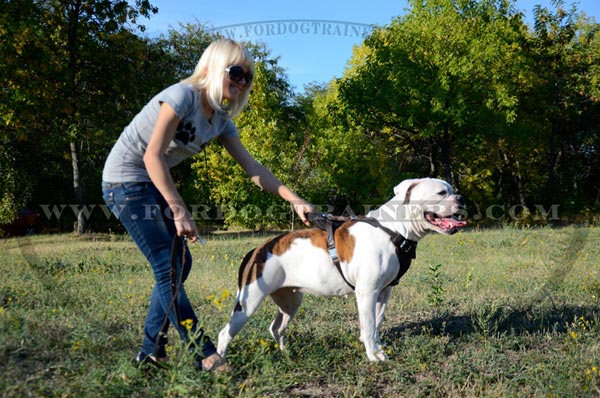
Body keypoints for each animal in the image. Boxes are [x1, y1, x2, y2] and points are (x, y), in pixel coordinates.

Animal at [218, 179, 466, 362]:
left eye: (453, 190)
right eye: (441, 192)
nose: (461, 198)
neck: (394, 230)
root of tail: (258, 249)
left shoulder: (384, 292)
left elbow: (377, 322)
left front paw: (378, 347)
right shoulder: (366, 292)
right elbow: (368, 324)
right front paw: (373, 356)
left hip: (290, 301)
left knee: (276, 328)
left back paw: (286, 353)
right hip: (249, 301)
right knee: (225, 333)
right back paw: (221, 365)